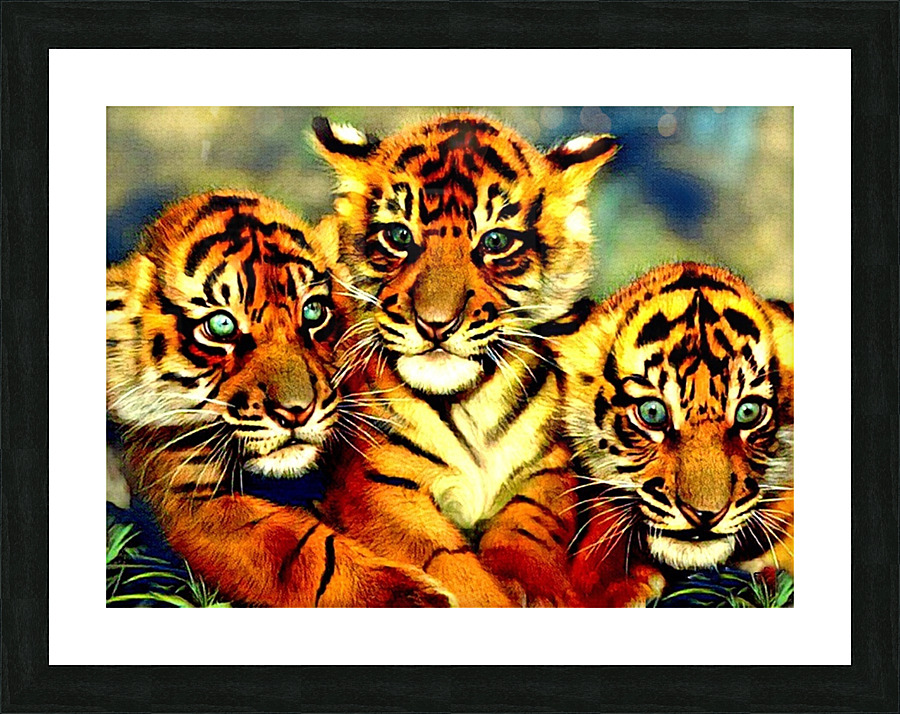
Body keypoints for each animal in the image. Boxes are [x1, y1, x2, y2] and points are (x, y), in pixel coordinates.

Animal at [106, 190, 454, 607]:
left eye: (314, 311)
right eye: (221, 325)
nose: (296, 412)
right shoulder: (187, 496)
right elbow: (307, 552)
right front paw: (412, 596)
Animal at [312, 113, 619, 606]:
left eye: (495, 241)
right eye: (399, 236)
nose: (435, 324)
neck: (471, 404)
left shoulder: (545, 474)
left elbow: (528, 538)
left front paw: (542, 589)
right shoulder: (380, 487)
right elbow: (449, 564)